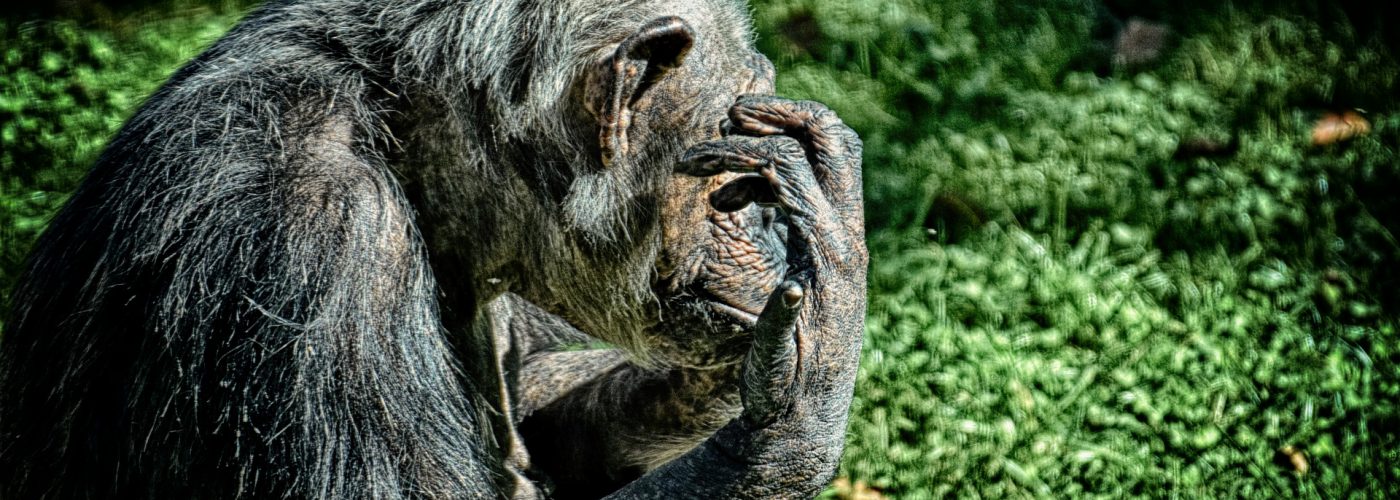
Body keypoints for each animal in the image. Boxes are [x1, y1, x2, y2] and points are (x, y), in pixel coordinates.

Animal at [0, 0, 867, 498]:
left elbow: (541, 395)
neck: (404, 131)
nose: (771, 226)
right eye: (739, 178)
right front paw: (807, 375)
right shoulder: (319, 241)